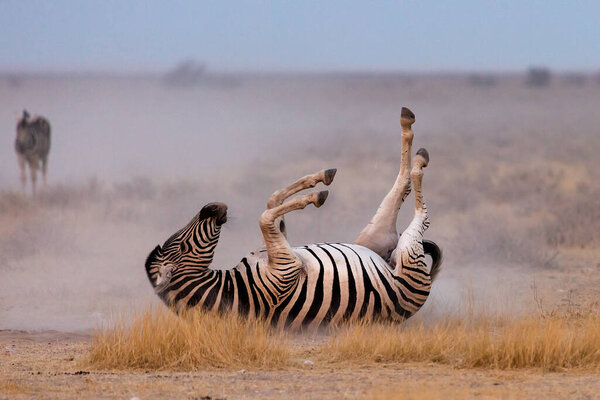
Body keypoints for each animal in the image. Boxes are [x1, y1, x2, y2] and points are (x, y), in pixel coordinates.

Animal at [144, 107, 440, 328]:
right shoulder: (286, 270)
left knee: (400, 187)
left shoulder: (282, 249)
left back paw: (409, 130)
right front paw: (313, 197)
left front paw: (316, 181)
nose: (214, 206)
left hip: (373, 239)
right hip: (406, 253)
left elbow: (271, 202)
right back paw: (418, 160)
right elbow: (264, 217)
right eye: (182, 247)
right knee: (418, 206)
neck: (232, 290)